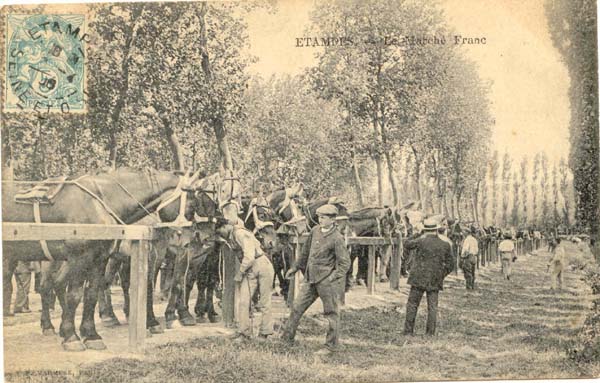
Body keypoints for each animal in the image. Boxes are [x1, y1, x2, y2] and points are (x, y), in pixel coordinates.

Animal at [1, 168, 204, 352]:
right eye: (191, 205)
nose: (190, 240)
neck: (101, 202)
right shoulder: (80, 258)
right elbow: (75, 295)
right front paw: (72, 337)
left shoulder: (100, 259)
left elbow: (91, 293)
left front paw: (90, 335)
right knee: (46, 286)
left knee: (51, 285)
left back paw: (51, 326)